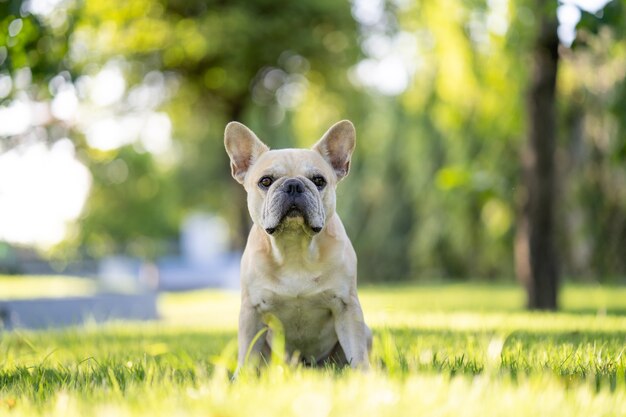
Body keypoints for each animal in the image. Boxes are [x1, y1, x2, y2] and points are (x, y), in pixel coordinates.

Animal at [224, 118, 370, 368]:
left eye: (319, 180)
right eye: (265, 181)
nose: (293, 185)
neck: (295, 247)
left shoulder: (347, 307)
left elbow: (357, 352)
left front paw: (364, 375)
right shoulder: (251, 311)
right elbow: (247, 353)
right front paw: (241, 376)